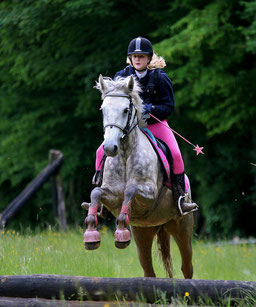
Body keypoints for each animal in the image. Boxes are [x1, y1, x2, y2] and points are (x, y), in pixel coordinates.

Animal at [83, 74, 194, 280]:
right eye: (103, 109)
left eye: (126, 110)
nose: (109, 148)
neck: (126, 152)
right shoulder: (111, 196)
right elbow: (96, 193)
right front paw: (91, 234)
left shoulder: (150, 194)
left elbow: (131, 189)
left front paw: (120, 230)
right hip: (143, 232)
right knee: (148, 269)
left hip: (182, 228)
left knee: (187, 267)